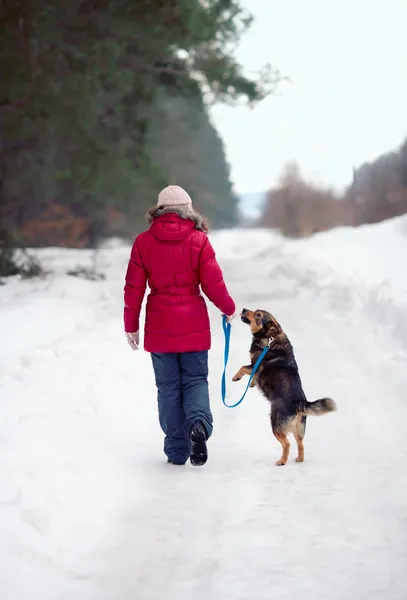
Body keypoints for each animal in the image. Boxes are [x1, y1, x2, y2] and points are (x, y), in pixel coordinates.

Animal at [233, 308, 338, 466]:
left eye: (258, 314)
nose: (244, 309)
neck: (270, 336)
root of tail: (299, 403)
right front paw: (251, 383)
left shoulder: (254, 367)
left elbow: (243, 368)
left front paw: (236, 377)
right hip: (298, 429)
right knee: (301, 444)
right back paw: (299, 459)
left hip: (275, 423)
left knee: (287, 444)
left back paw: (282, 461)